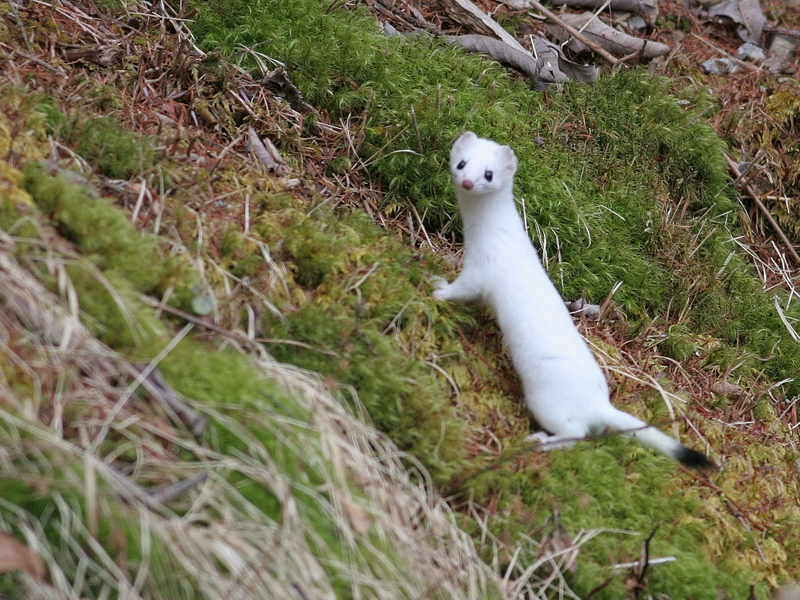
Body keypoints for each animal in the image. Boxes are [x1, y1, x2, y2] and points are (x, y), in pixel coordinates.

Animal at [433, 131, 716, 471]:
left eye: (489, 173)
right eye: (462, 163)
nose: (467, 182)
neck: (486, 234)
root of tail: (599, 404)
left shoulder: (481, 269)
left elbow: (462, 288)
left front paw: (438, 288)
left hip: (545, 401)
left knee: (575, 433)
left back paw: (541, 440)